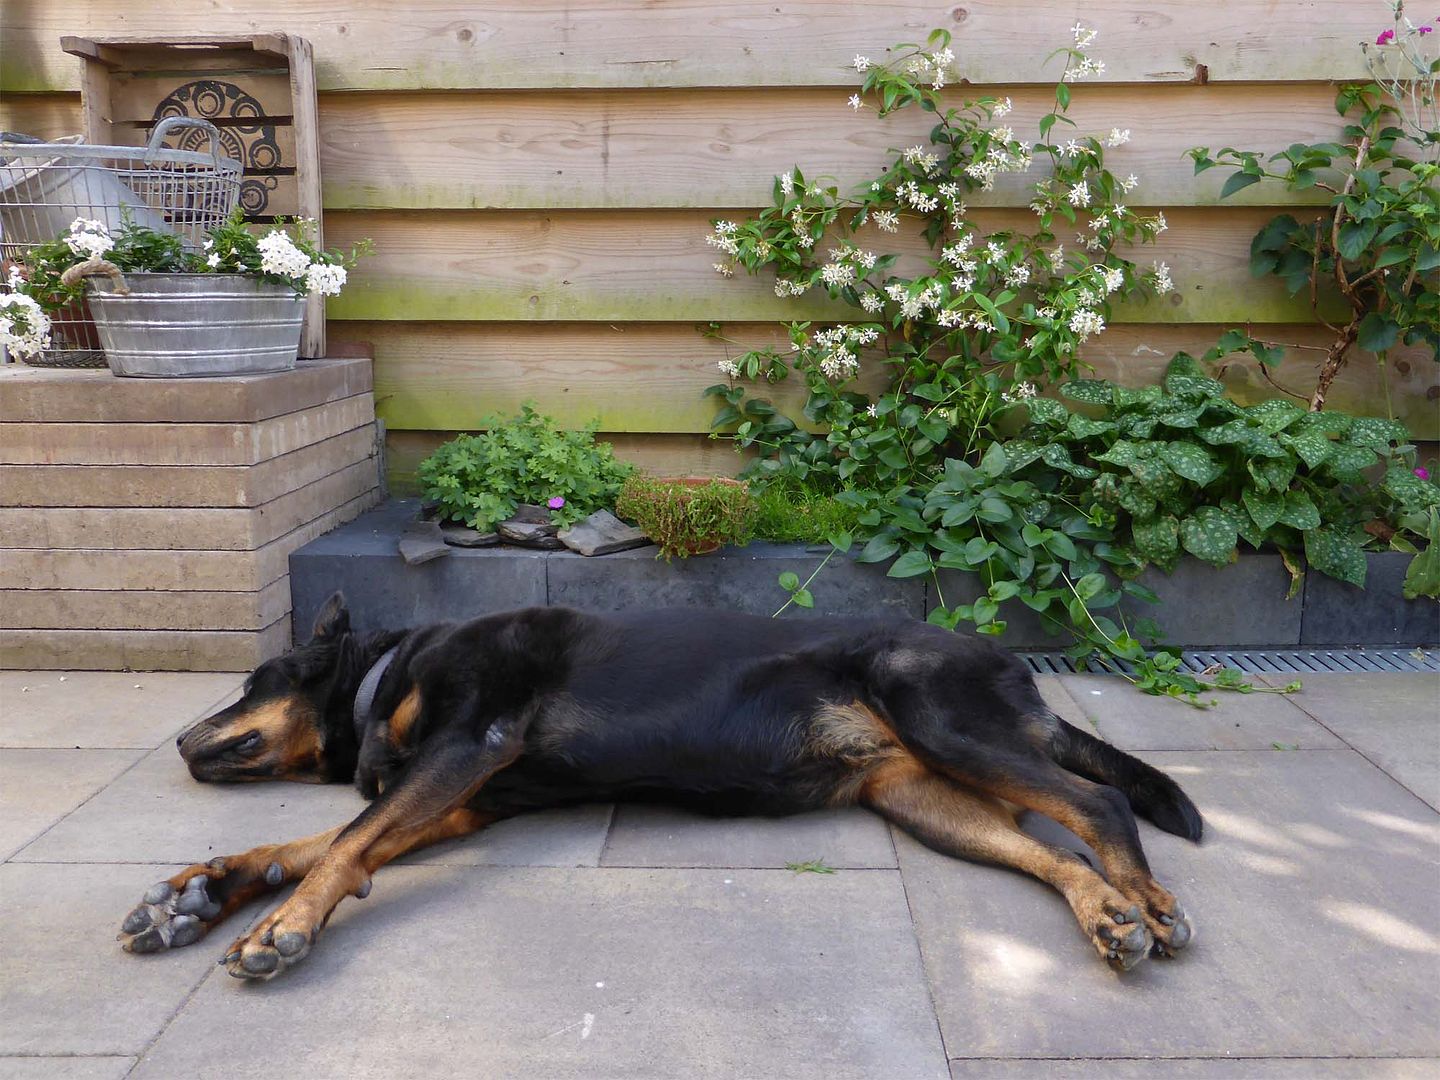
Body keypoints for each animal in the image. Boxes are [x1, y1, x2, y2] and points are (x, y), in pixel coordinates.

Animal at [118, 594, 1200, 980]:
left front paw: (278, 928)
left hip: (940, 714)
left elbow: (344, 845)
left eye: (248, 683)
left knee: (1095, 803)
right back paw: (1111, 915)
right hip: (918, 796)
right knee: (1043, 848)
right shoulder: (459, 799)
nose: (174, 739)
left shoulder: (470, 744)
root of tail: (1014, 665)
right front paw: (199, 894)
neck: (390, 673)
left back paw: (1146, 900)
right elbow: (316, 848)